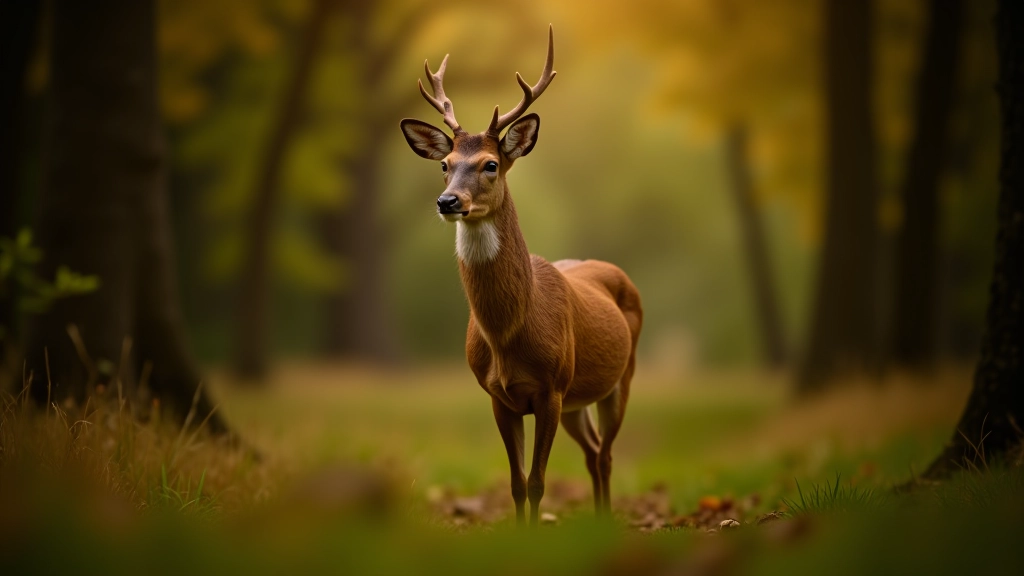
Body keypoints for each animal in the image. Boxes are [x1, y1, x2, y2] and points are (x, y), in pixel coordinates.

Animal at [399, 26, 643, 527]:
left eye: (490, 164)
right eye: (444, 164)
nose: (447, 201)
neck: (508, 335)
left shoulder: (551, 388)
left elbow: (537, 482)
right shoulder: (499, 396)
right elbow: (515, 483)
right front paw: (520, 533)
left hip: (619, 378)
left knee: (606, 453)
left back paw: (606, 520)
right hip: (577, 400)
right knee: (592, 452)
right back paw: (597, 518)